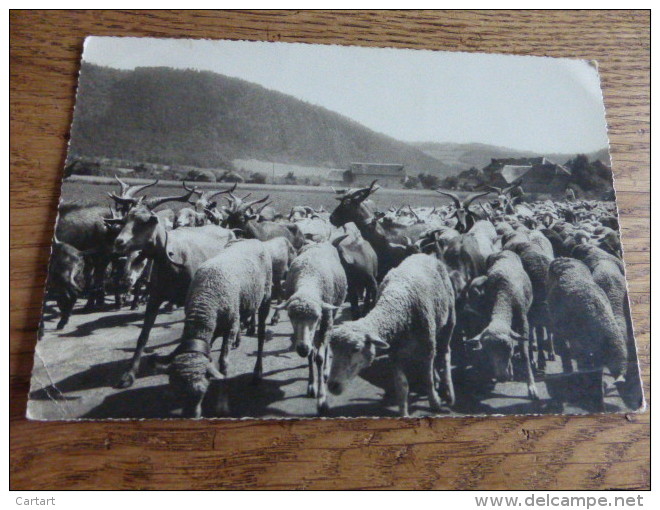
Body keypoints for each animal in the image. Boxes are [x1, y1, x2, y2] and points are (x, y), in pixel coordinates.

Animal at [170, 239, 274, 418]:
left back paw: (257, 372)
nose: (192, 417)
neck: (206, 297)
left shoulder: (230, 327)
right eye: (178, 392)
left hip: (266, 297)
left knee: (261, 335)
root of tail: (252, 239)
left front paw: (222, 403)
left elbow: (223, 363)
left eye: (202, 392)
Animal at [274, 241, 348, 412]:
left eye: (316, 317)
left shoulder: (325, 317)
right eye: (290, 316)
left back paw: (326, 370)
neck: (309, 278)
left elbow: (319, 357)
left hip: (332, 312)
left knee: (326, 342)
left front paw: (321, 397)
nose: (301, 348)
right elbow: (311, 354)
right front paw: (311, 385)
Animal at [324, 255, 454, 418]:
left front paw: (435, 402)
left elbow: (427, 378)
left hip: (449, 319)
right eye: (333, 350)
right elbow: (402, 386)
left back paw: (449, 391)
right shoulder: (394, 352)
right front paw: (404, 414)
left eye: (356, 349)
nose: (332, 386)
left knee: (445, 353)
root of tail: (425, 255)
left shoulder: (427, 347)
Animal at [462, 249, 540, 400]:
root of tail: (504, 250)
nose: (502, 377)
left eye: (509, 349)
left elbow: (524, 352)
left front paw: (531, 386)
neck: (504, 296)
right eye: (487, 351)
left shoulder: (523, 321)